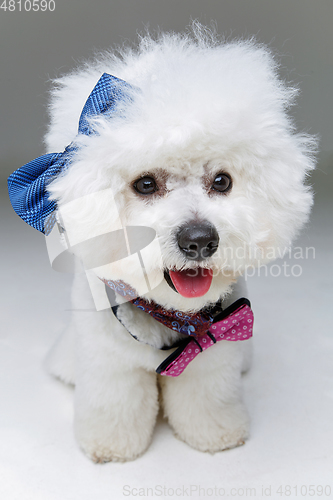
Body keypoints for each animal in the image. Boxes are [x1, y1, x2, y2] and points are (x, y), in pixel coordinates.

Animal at [7, 24, 314, 460]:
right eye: (145, 184)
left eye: (222, 181)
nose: (199, 240)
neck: (175, 315)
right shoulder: (108, 362)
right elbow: (114, 404)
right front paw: (111, 445)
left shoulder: (215, 352)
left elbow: (208, 396)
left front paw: (216, 433)